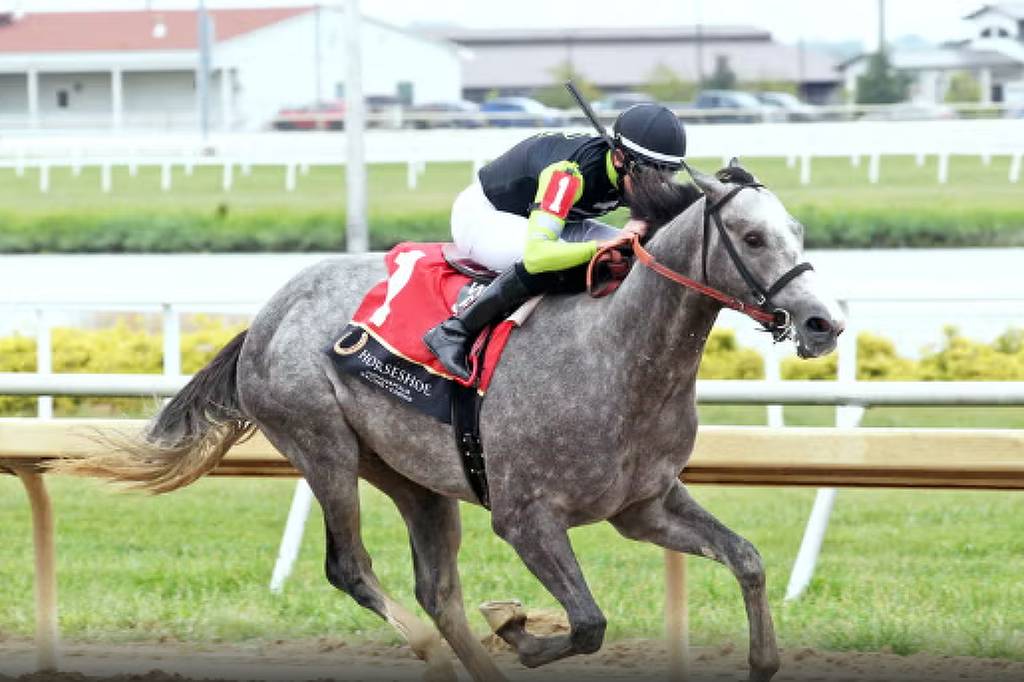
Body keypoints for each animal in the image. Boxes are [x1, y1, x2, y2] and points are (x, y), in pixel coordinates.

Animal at [58, 161, 844, 682]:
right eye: (751, 236)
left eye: (798, 230)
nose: (823, 322)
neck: (619, 355)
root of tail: (267, 314)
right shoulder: (527, 518)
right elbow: (589, 623)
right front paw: (519, 629)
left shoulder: (643, 505)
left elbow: (747, 558)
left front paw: (763, 659)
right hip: (322, 446)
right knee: (351, 568)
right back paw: (431, 652)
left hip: (415, 478)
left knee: (437, 589)